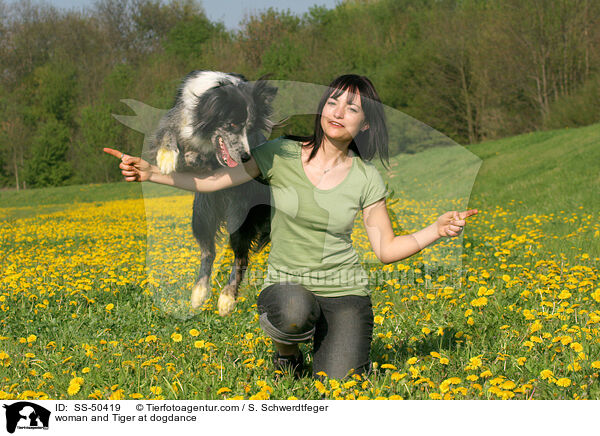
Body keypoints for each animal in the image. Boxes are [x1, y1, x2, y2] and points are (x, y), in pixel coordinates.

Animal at [149, 71, 276, 316]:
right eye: (232, 124)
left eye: (250, 128)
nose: (246, 157)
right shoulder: (176, 118)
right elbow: (167, 131)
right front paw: (167, 156)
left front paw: (190, 157)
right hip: (201, 213)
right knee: (208, 251)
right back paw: (199, 293)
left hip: (239, 214)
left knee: (241, 257)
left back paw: (227, 299)